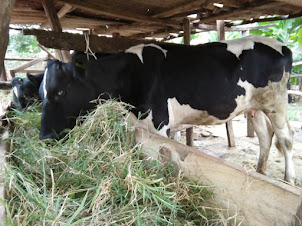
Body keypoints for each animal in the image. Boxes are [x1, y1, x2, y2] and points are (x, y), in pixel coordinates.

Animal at [40, 35, 294, 184]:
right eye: (40, 94)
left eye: (60, 91)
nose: (44, 138)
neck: (130, 74)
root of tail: (282, 46)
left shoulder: (159, 124)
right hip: (256, 108)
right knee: (265, 137)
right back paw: (260, 172)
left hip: (277, 104)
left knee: (287, 139)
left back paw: (288, 180)